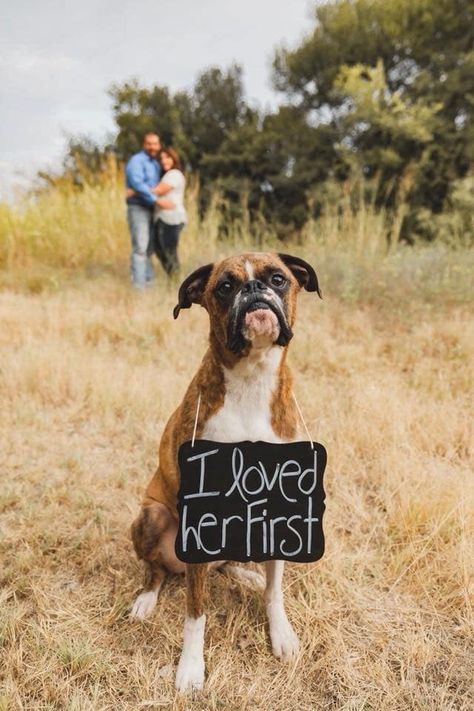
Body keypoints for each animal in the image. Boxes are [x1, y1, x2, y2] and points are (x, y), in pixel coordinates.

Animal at [131, 250, 320, 688]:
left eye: (278, 278)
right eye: (225, 287)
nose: (254, 288)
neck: (252, 379)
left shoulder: (278, 508)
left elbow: (275, 592)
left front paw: (281, 633)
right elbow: (195, 613)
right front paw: (190, 668)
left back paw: (245, 573)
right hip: (151, 516)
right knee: (156, 570)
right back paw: (147, 599)